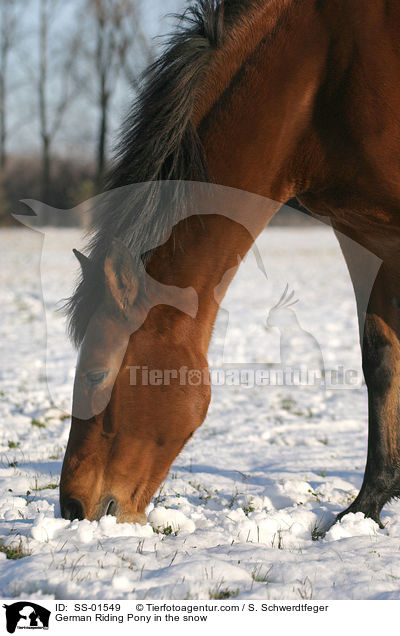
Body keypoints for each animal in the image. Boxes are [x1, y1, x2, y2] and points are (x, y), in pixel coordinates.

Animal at [59, 0, 400, 528]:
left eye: (96, 374)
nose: (72, 507)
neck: (324, 72)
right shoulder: (365, 232)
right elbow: (379, 358)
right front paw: (367, 506)